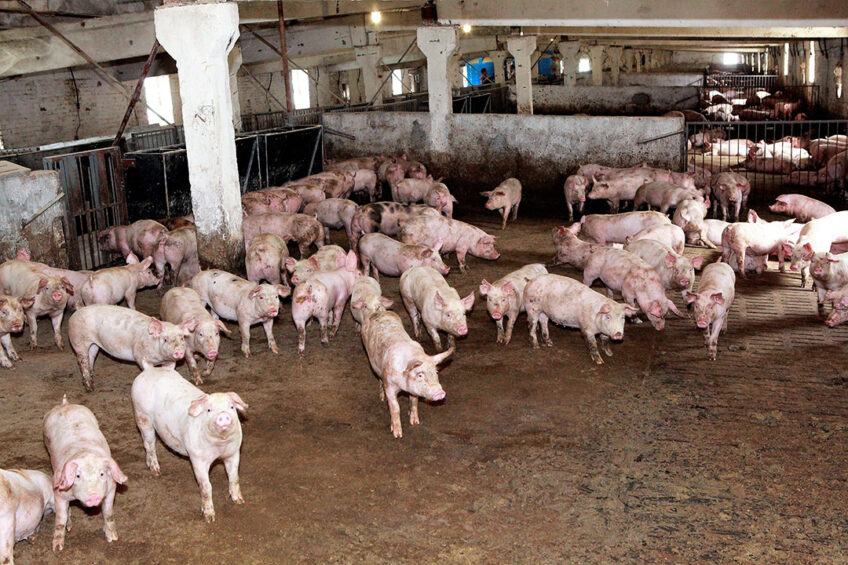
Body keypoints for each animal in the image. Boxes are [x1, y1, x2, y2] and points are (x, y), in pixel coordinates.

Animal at [42, 396, 126, 552]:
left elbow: (108, 513)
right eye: (78, 476)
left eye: (102, 474)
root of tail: (66, 405)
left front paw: (113, 538)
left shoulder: (111, 488)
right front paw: (57, 548)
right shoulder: (59, 492)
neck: (85, 453)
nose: (93, 496)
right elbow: (60, 519)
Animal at [131, 368, 247, 524]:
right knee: (149, 444)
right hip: (142, 417)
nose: (223, 415)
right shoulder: (197, 458)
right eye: (209, 410)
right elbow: (206, 487)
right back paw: (156, 471)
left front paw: (240, 501)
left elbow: (234, 476)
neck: (219, 446)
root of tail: (149, 369)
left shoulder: (233, 452)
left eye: (232, 407)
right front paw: (209, 518)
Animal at [360, 308, 454, 436]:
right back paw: (382, 398)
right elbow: (395, 408)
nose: (440, 392)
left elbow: (414, 401)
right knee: (379, 379)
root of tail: (378, 312)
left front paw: (415, 422)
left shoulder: (413, 390)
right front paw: (397, 434)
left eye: (436, 373)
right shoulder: (389, 385)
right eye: (420, 375)